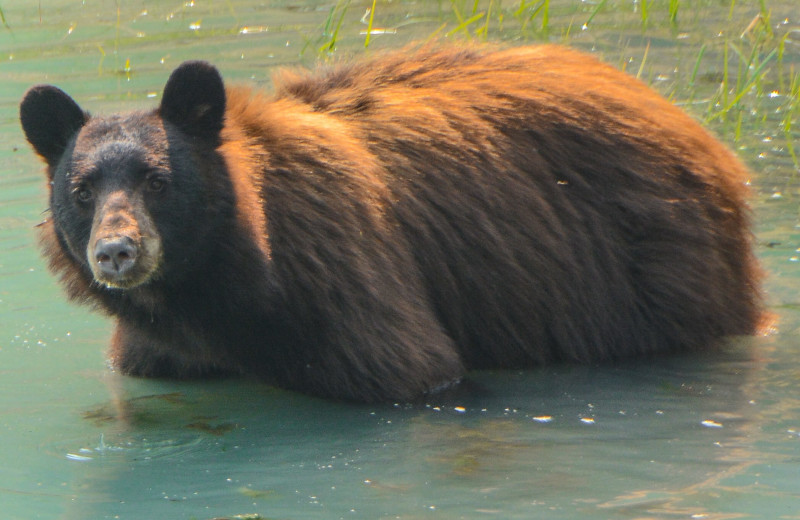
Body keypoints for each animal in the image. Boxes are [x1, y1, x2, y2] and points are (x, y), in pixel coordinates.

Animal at [20, 44, 764, 402]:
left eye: (158, 180)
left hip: (654, 262)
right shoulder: (157, 348)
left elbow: (409, 369)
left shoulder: (340, 280)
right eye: (82, 190)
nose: (118, 251)